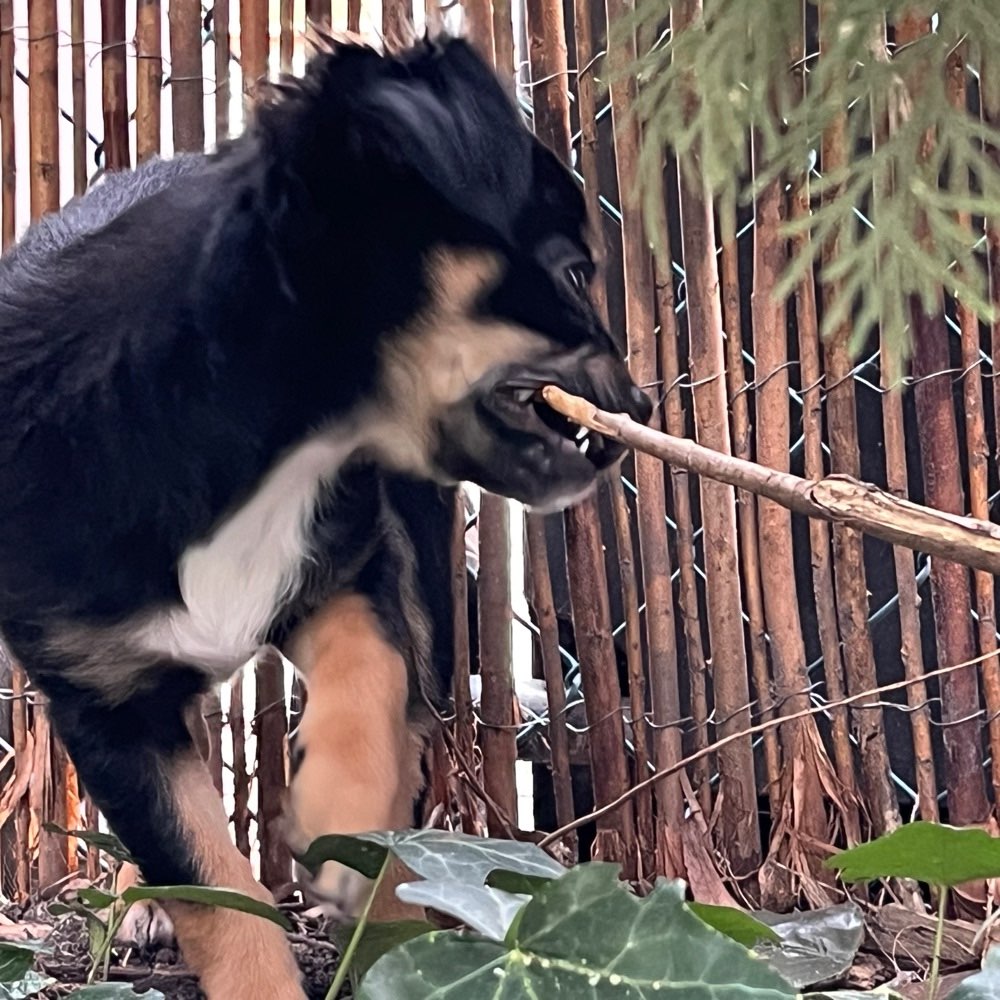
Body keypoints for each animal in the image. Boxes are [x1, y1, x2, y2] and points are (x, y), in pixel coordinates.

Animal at [0, 35, 648, 1000]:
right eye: (572, 270)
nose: (638, 412)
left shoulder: (350, 560)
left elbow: (371, 672)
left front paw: (339, 809)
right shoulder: (103, 703)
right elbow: (209, 878)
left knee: (414, 710)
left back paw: (390, 900)